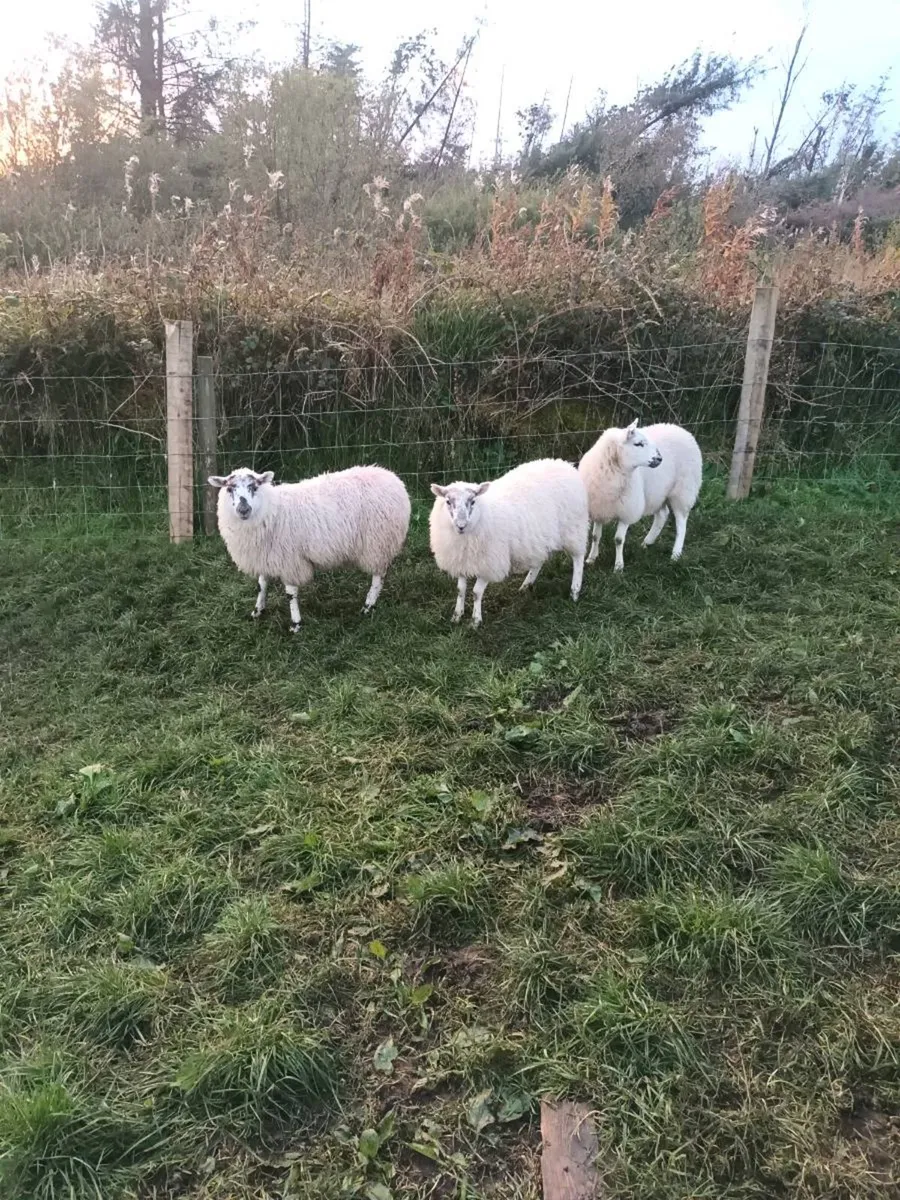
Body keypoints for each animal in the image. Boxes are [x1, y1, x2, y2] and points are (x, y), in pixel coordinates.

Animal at [209, 465, 411, 632]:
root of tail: (393, 478)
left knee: (378, 576)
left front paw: (295, 624)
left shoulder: (289, 560)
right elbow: (262, 584)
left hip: (378, 543)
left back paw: (368, 606)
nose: (243, 509)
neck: (272, 510)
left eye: (254, 486)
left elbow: (290, 594)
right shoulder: (265, 555)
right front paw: (258, 610)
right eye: (229, 488)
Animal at [429, 458, 589, 627]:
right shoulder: (461, 561)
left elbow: (476, 592)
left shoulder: (490, 563)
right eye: (448, 501)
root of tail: (565, 464)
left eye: (472, 501)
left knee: (578, 559)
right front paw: (457, 616)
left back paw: (575, 591)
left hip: (574, 529)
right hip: (539, 538)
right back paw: (526, 585)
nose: (461, 525)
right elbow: (460, 590)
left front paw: (475, 621)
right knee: (539, 561)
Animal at [578, 419, 702, 572]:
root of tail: (681, 430)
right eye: (638, 444)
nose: (659, 459)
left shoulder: (627, 510)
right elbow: (595, 536)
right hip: (658, 492)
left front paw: (618, 566)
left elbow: (618, 540)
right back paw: (647, 542)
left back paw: (676, 554)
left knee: (681, 524)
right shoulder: (599, 507)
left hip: (683, 492)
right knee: (662, 515)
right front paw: (591, 559)